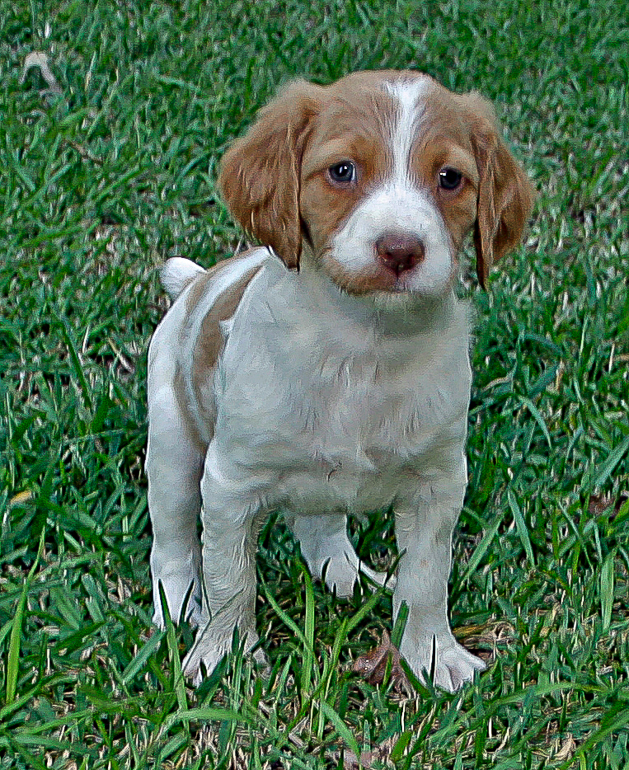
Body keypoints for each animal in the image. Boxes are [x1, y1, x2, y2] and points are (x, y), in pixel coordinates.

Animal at [147, 69, 536, 688]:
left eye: (450, 178)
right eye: (343, 171)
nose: (400, 250)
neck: (364, 345)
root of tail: (195, 285)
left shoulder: (438, 480)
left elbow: (427, 577)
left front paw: (433, 654)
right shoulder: (231, 483)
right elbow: (231, 581)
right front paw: (226, 657)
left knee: (318, 526)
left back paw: (345, 575)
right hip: (172, 444)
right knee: (174, 540)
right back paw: (178, 605)